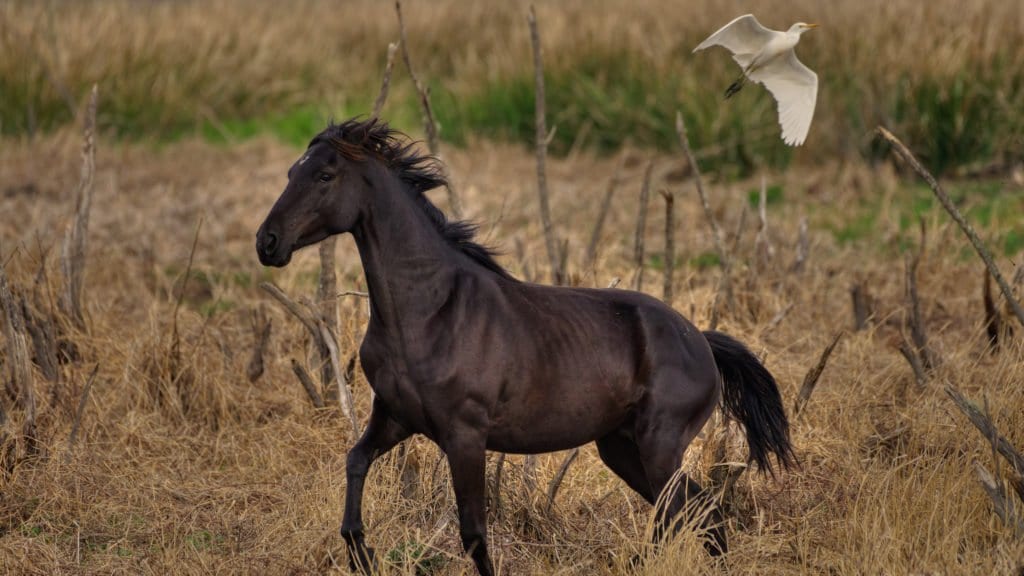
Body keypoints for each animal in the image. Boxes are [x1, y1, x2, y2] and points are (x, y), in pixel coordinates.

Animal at [253, 117, 790, 573]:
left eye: (324, 175)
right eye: (291, 172)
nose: (267, 242)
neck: (430, 310)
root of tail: (701, 341)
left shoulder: (464, 436)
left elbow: (473, 533)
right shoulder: (394, 418)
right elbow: (356, 463)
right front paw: (362, 554)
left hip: (660, 443)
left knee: (680, 513)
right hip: (621, 446)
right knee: (702, 514)